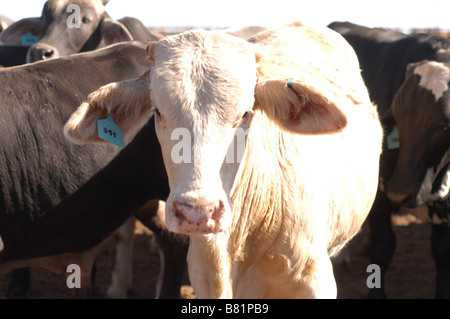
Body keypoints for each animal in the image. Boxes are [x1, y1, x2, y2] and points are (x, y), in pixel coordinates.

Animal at [328, 21, 450, 298]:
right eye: (398, 118)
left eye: (444, 125)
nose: (399, 192)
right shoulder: (380, 190)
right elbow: (383, 247)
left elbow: (441, 252)